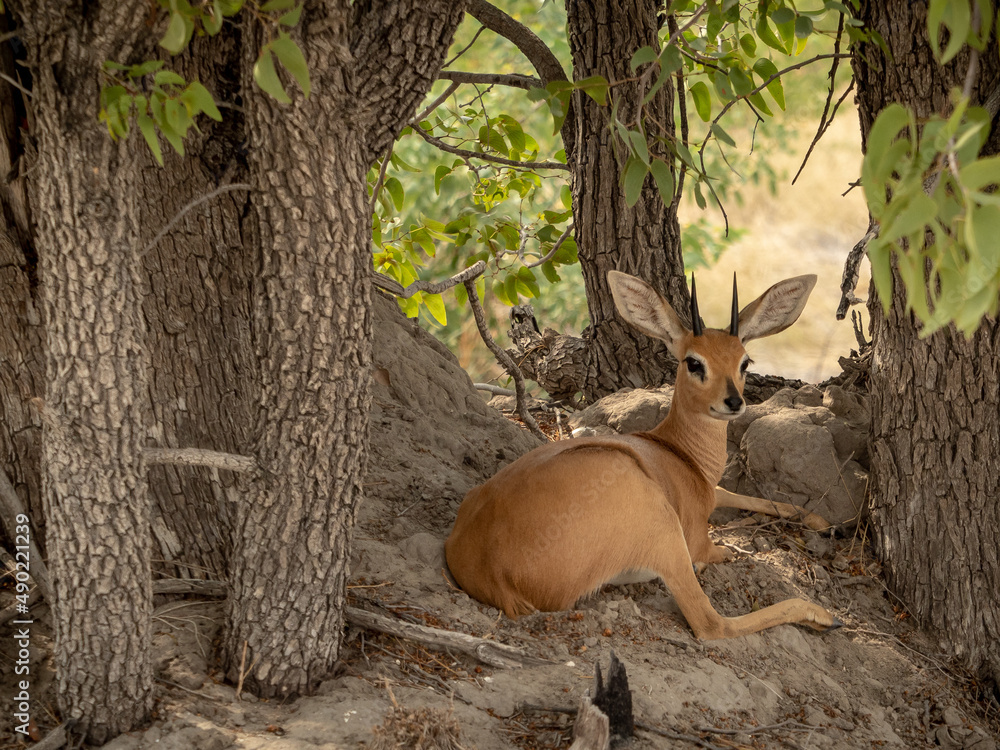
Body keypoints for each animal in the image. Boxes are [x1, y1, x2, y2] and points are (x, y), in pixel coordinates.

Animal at [442, 270, 840, 640]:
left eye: (744, 362)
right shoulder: (696, 536)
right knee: (710, 624)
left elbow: (746, 495)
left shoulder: (713, 491)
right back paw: (823, 615)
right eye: (694, 362)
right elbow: (720, 548)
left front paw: (823, 522)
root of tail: (493, 573)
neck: (678, 454)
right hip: (665, 534)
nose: (733, 402)